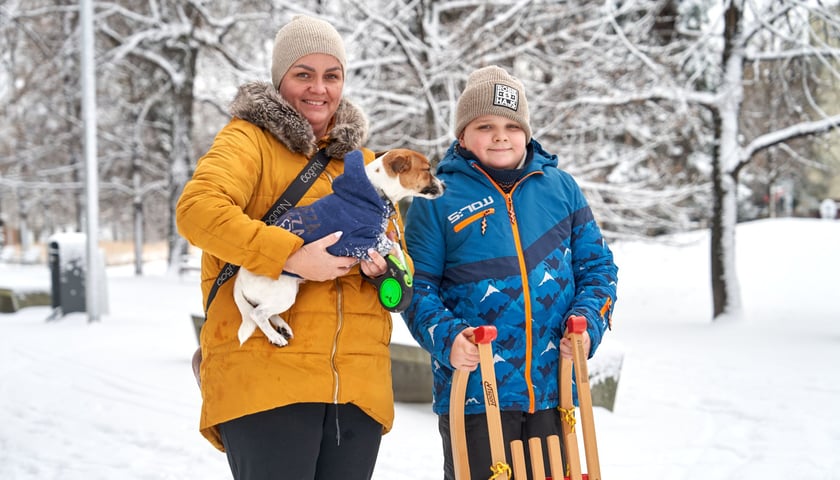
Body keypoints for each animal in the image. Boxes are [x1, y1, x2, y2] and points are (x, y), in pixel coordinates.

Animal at [233, 148, 442, 346]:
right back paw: (275, 337)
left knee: (268, 312)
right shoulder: (360, 241)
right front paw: (401, 266)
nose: (444, 186)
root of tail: (240, 281)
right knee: (257, 314)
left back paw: (282, 328)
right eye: (427, 170)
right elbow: (394, 247)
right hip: (283, 293)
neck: (376, 191)